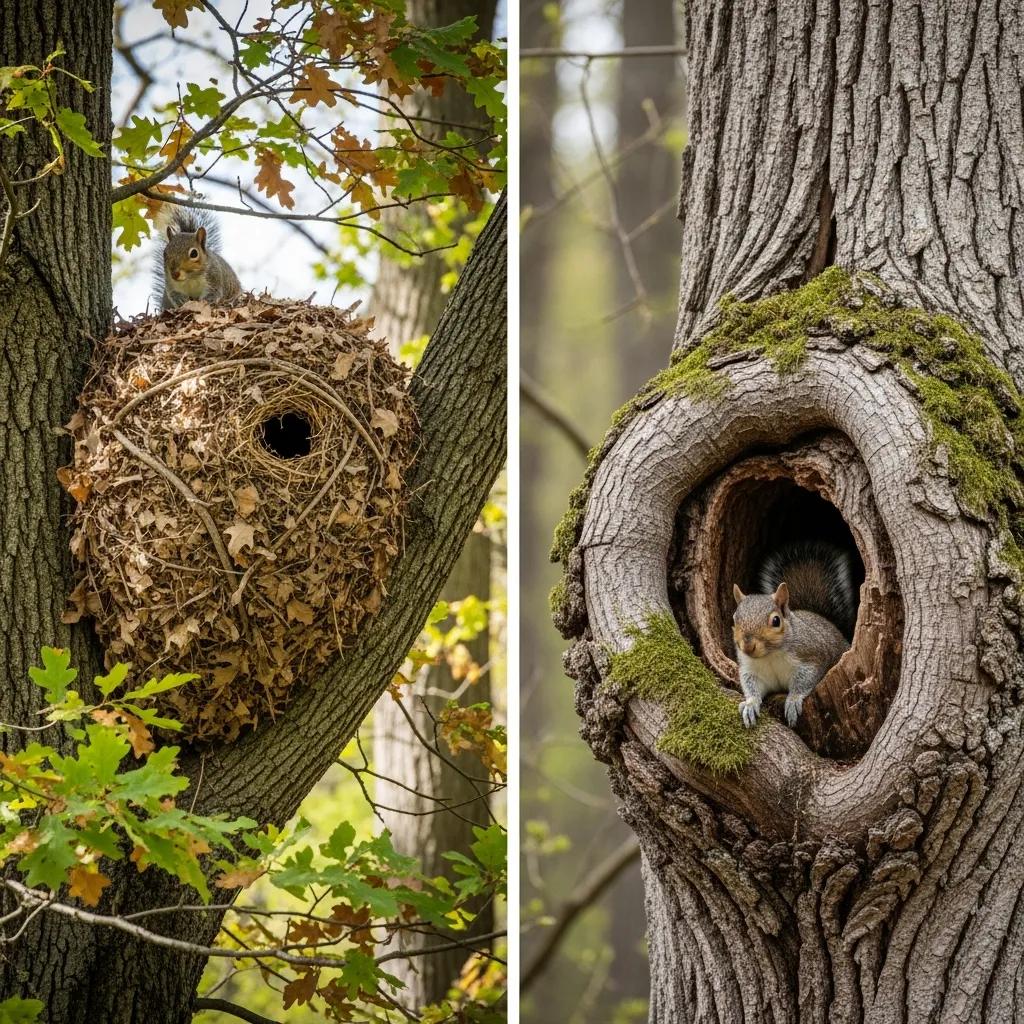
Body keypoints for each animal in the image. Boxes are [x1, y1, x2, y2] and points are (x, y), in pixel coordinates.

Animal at [732, 542, 855, 729]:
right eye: (734, 618)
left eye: (776, 621)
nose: (747, 646)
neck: (770, 656)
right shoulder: (750, 669)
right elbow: (751, 686)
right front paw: (750, 704)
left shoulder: (811, 658)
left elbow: (804, 681)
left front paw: (793, 700)